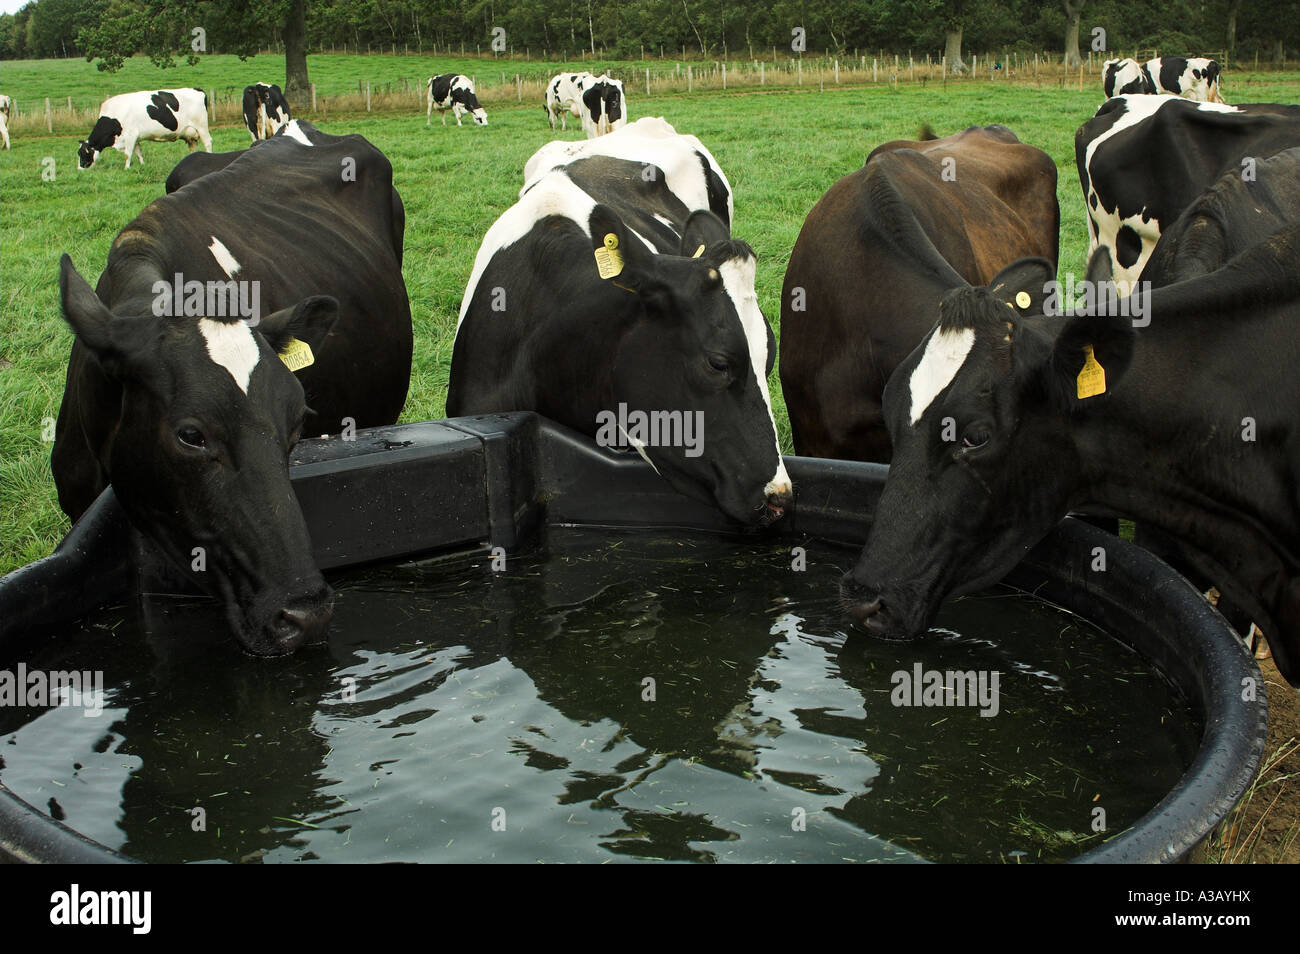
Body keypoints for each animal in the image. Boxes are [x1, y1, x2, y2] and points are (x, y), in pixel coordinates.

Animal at [77, 88, 211, 170]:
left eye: (82, 153)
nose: (79, 169)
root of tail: (197, 90)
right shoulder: (135, 138)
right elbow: (138, 153)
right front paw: (142, 165)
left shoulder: (130, 135)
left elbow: (128, 154)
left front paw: (126, 168)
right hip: (190, 133)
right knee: (193, 146)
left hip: (202, 126)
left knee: (208, 142)